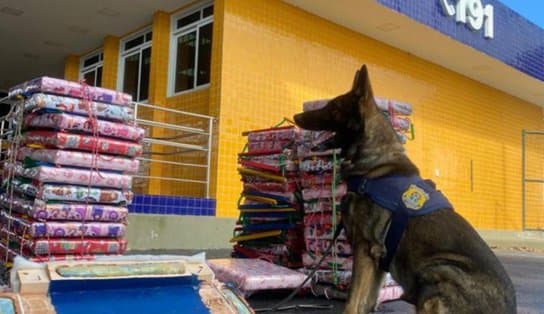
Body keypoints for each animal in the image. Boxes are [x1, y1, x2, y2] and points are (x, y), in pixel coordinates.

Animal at [296, 64, 516, 314]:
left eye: (332, 107)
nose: (295, 116)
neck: (372, 161)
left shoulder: (365, 248)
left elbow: (353, 301)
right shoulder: (378, 259)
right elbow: (367, 302)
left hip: (437, 270)